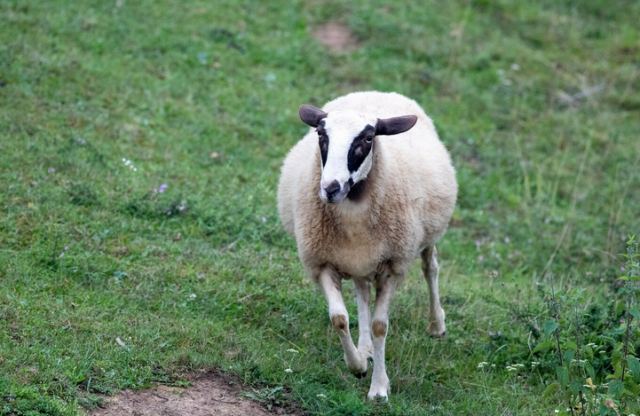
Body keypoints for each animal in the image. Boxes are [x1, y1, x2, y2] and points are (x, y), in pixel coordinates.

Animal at [276, 90, 456, 400]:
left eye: (368, 138)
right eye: (321, 135)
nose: (330, 188)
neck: (352, 207)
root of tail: (377, 92)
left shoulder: (393, 265)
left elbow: (380, 325)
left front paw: (379, 388)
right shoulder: (322, 262)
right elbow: (339, 318)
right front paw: (358, 365)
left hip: (426, 236)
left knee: (430, 268)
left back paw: (437, 324)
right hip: (360, 259)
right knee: (361, 293)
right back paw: (365, 348)